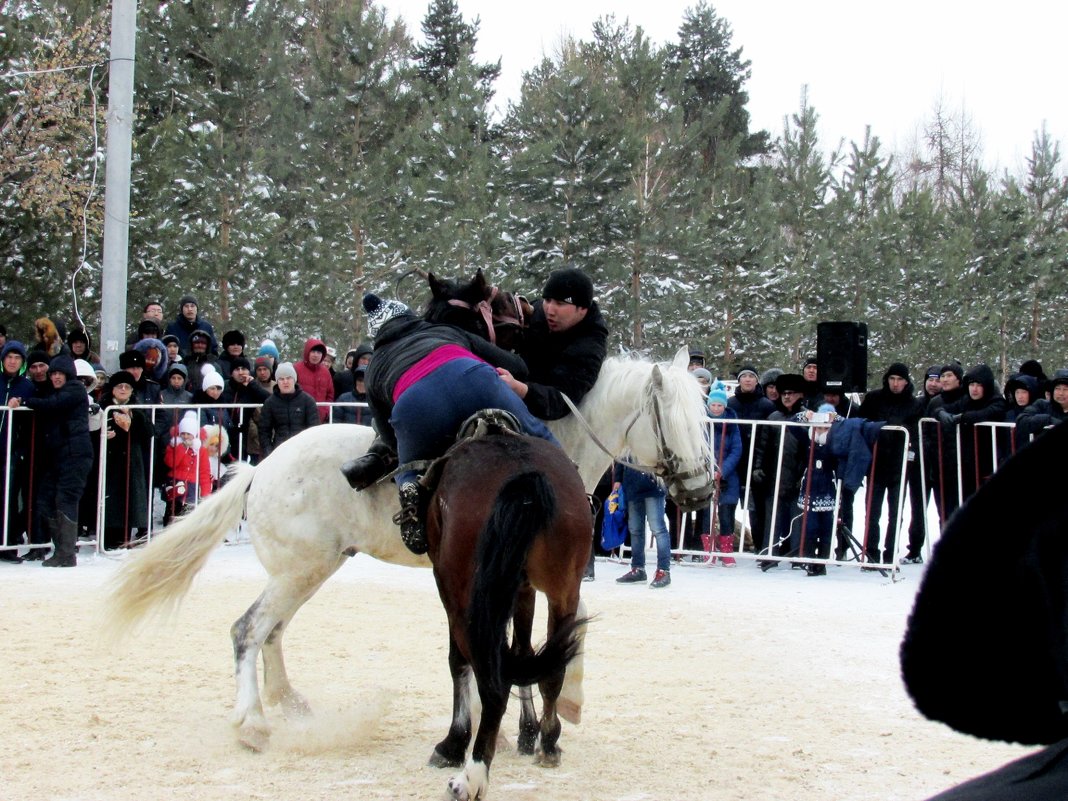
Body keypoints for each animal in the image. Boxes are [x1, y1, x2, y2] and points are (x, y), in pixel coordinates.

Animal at [108, 350, 713, 760]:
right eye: (677, 423)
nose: (702, 491)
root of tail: (261, 469)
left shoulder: (522, 580)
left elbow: (528, 642)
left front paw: (525, 729)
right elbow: (520, 644)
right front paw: (539, 721)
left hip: (307, 571)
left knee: (271, 632)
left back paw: (289, 702)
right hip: (300, 572)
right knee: (248, 631)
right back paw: (253, 723)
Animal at [425, 433, 593, 801]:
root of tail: (524, 474)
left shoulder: (450, 589)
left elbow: (458, 662)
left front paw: (453, 743)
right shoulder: (523, 589)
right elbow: (524, 653)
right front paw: (531, 733)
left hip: (468, 601)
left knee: (493, 682)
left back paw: (472, 775)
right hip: (562, 591)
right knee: (551, 669)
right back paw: (548, 744)